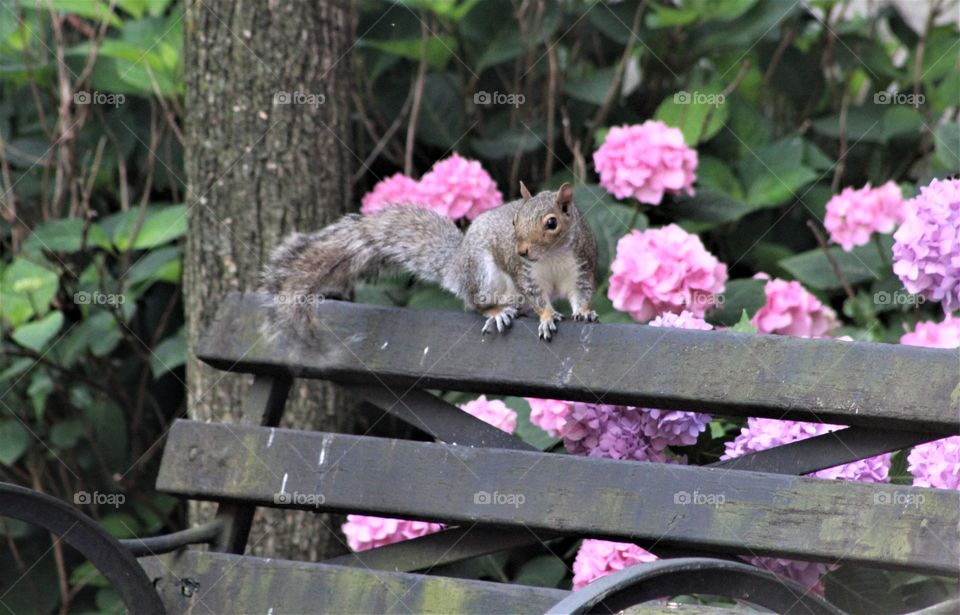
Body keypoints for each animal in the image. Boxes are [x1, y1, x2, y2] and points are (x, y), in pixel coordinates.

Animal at [262, 181, 598, 342]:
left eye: (552, 223)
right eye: (514, 221)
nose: (522, 251)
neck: (552, 255)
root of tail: (458, 265)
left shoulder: (581, 264)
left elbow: (581, 293)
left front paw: (584, 312)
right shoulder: (525, 273)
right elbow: (537, 296)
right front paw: (547, 316)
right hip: (483, 273)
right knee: (476, 302)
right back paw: (499, 312)